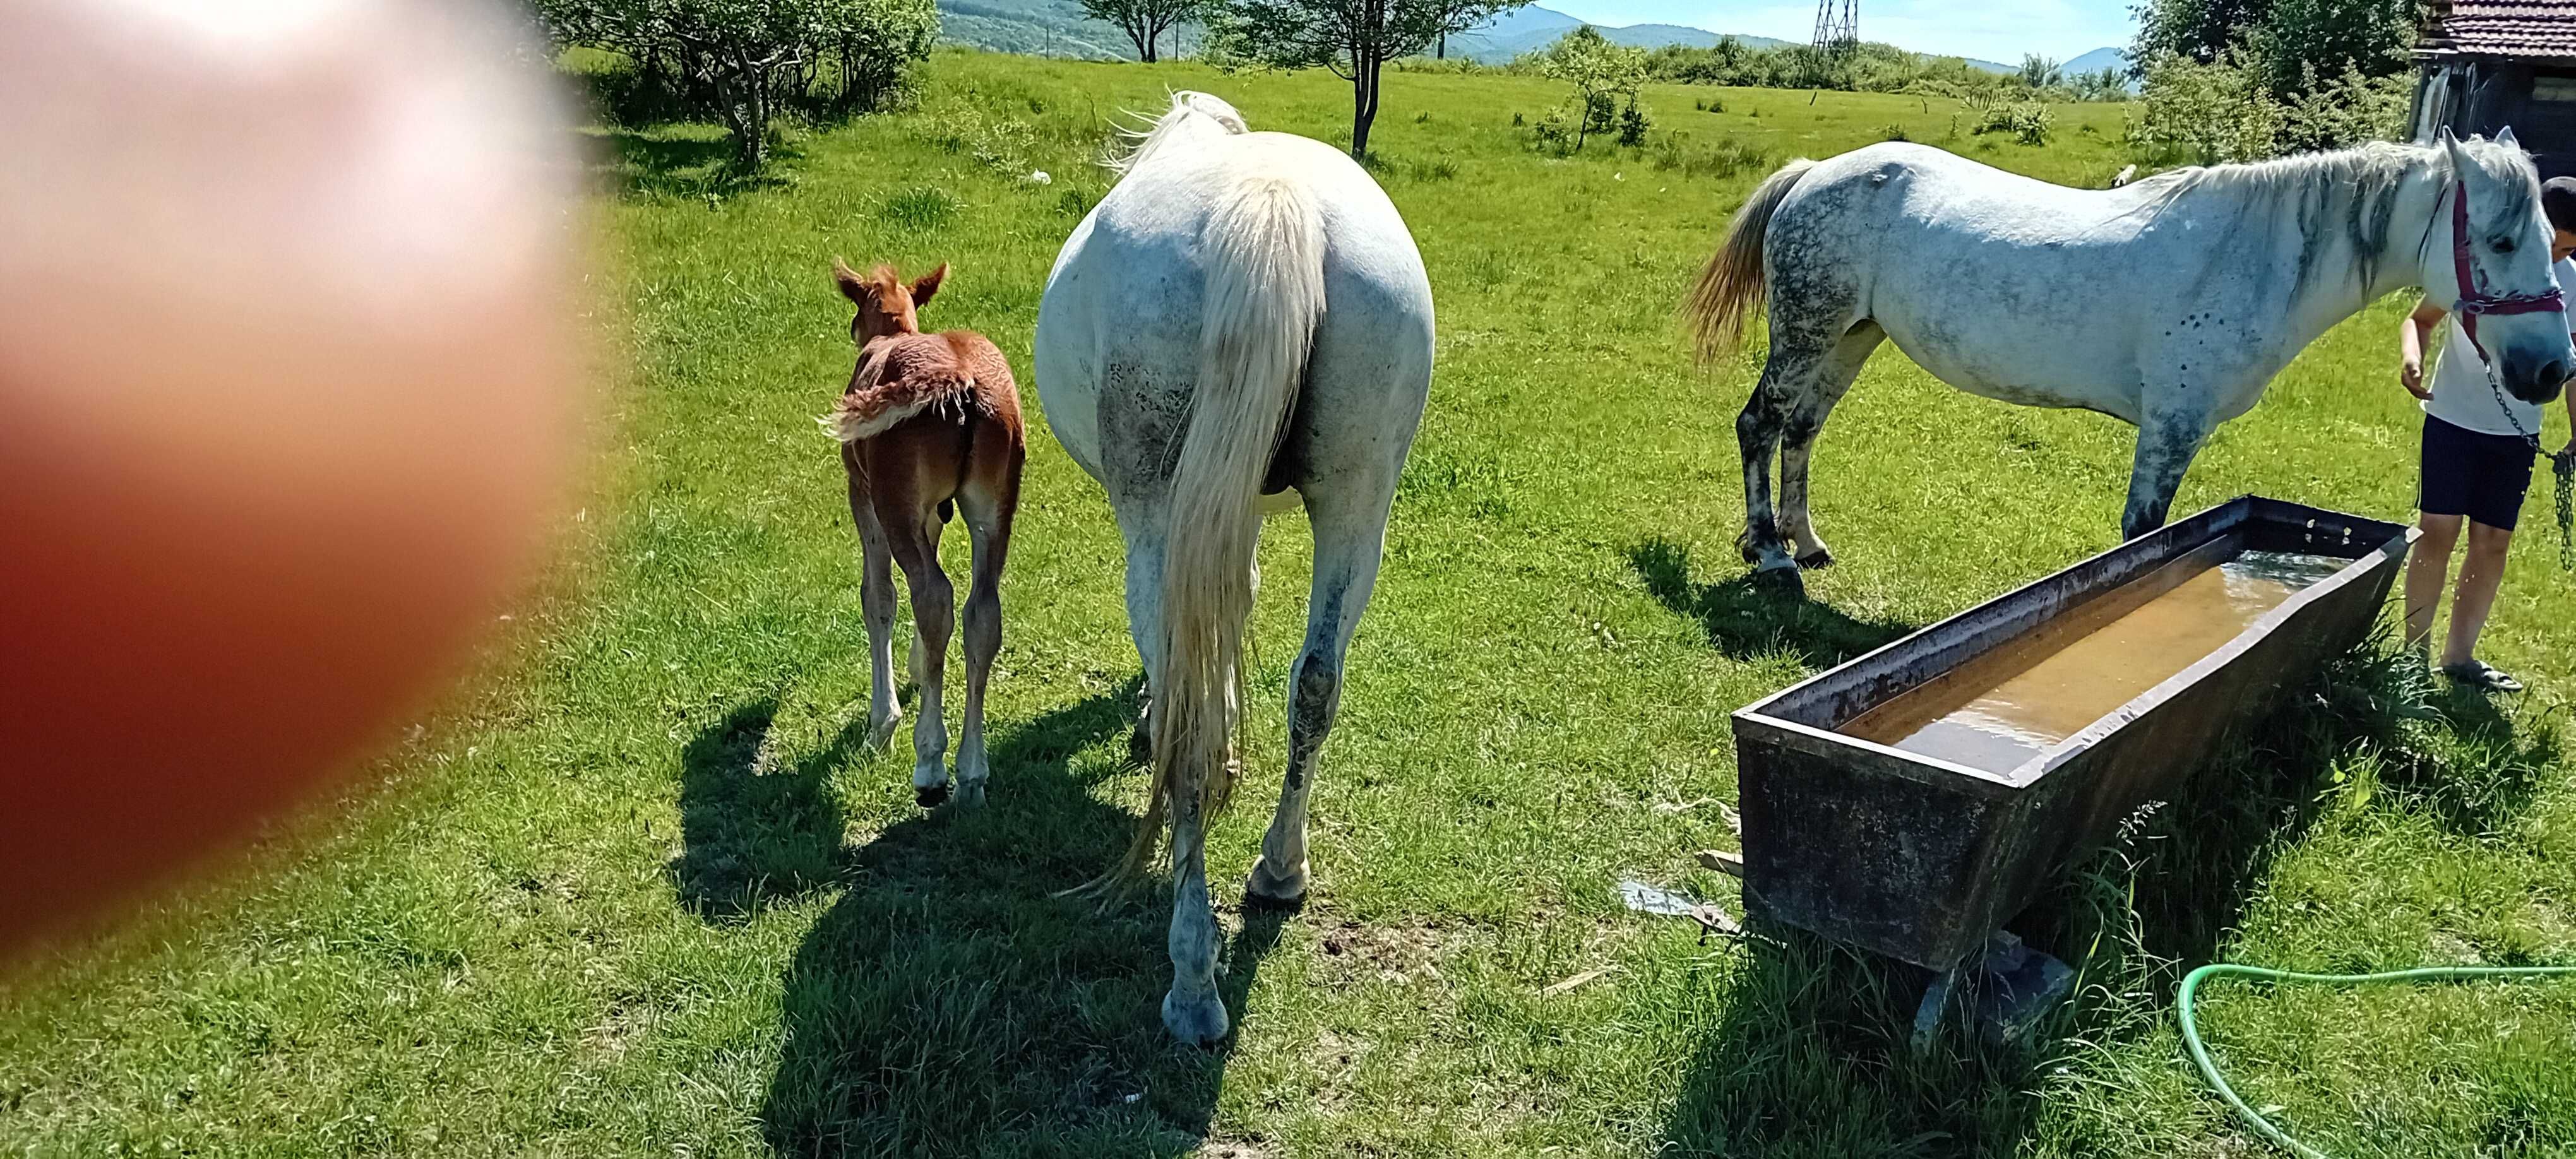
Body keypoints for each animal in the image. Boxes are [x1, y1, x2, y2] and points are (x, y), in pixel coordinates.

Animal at [824, 259, 1025, 809]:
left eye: (854, 312)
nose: (851, 330)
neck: (892, 335)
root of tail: (960, 379)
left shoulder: (863, 493)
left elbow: (878, 597)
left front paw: (882, 723)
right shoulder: (933, 509)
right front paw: (918, 668)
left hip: (892, 500)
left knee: (934, 595)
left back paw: (931, 764)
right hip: (995, 507)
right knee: (981, 612)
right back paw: (972, 772)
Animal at [1035, 95, 1442, 1045]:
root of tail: (1272, 194)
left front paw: (1149, 719)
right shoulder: (1239, 514)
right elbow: (1242, 612)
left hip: (1157, 517)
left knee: (1190, 723)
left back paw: (1191, 985)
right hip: (1358, 510)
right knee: (1317, 683)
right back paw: (1280, 870)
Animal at [1690, 131, 2576, 592]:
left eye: (2546, 238)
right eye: (2502, 240)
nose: (2549, 373)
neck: (2251, 256)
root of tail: (1816, 172)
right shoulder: (2172, 426)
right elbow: (2142, 533)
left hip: (1850, 338)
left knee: (1801, 431)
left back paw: (1805, 542)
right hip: (1808, 334)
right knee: (1758, 424)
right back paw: (1770, 552)